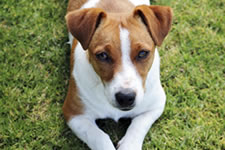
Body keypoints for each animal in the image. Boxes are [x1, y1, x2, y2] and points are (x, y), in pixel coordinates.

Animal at [62, 0, 173, 150]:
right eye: (102, 55)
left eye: (143, 53)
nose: (126, 97)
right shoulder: (74, 114)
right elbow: (99, 137)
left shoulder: (155, 105)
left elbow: (138, 127)